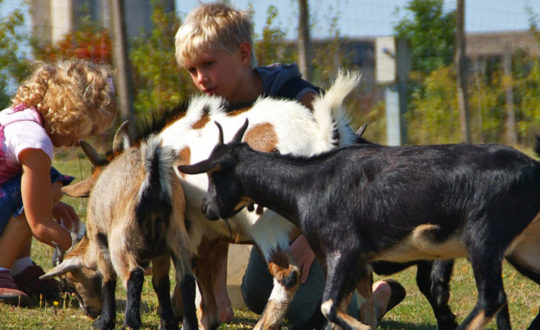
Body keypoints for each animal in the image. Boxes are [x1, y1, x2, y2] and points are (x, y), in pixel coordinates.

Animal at [180, 120, 540, 328]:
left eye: (213, 174)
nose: (207, 207)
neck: (309, 184)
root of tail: (532, 169)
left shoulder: (346, 251)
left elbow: (329, 307)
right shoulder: (350, 262)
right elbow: (338, 312)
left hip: (483, 238)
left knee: (491, 299)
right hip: (520, 249)